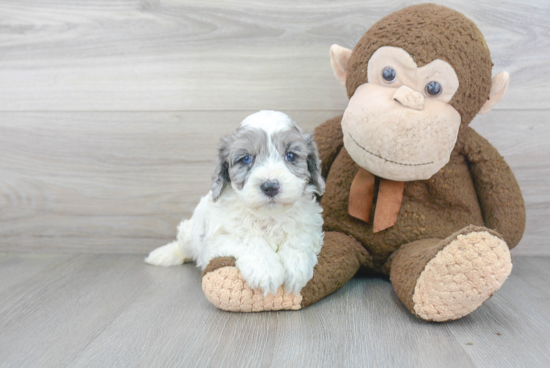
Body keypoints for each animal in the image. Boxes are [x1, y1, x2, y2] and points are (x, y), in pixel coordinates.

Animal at [147, 110, 328, 296]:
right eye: (246, 159)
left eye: (291, 155)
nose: (270, 186)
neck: (268, 216)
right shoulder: (220, 236)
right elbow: (247, 239)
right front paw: (266, 270)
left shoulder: (311, 224)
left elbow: (299, 238)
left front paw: (296, 266)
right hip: (189, 232)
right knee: (183, 246)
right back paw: (163, 255)